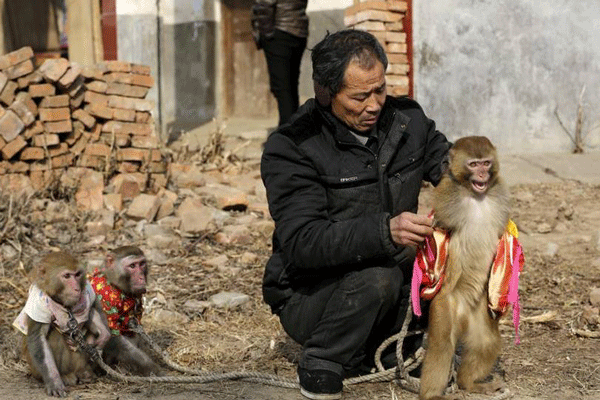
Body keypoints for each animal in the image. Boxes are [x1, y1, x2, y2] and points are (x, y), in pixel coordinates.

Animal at [12, 252, 112, 396]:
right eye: (66, 276)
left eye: (77, 274)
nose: (76, 288)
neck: (61, 302)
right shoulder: (38, 304)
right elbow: (38, 338)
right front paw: (54, 382)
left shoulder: (87, 289)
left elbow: (91, 309)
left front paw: (103, 337)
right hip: (36, 370)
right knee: (55, 336)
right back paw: (65, 377)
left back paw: (85, 373)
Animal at [87, 245, 161, 376]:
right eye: (132, 266)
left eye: (142, 264)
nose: (141, 278)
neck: (114, 285)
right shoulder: (104, 300)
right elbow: (113, 337)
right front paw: (151, 367)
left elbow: (132, 329)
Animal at [418, 136, 516, 398]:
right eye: (473, 164)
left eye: (485, 163)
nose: (482, 174)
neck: (476, 196)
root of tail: (463, 314)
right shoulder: (445, 198)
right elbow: (436, 232)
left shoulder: (500, 198)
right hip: (446, 306)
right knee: (442, 345)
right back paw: (431, 393)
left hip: (479, 311)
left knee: (486, 342)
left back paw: (468, 384)